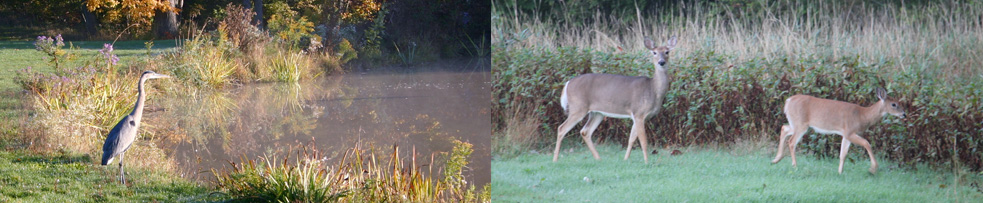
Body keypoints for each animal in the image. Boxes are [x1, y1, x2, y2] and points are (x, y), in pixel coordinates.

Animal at [768, 88, 908, 174]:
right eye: (894, 104)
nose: (904, 114)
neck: (862, 115)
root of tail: (788, 101)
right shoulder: (850, 131)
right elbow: (866, 143)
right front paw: (873, 169)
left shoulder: (845, 135)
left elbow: (843, 154)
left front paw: (840, 172)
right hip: (801, 124)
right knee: (792, 142)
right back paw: (794, 165)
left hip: (796, 123)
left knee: (784, 128)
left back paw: (776, 159)